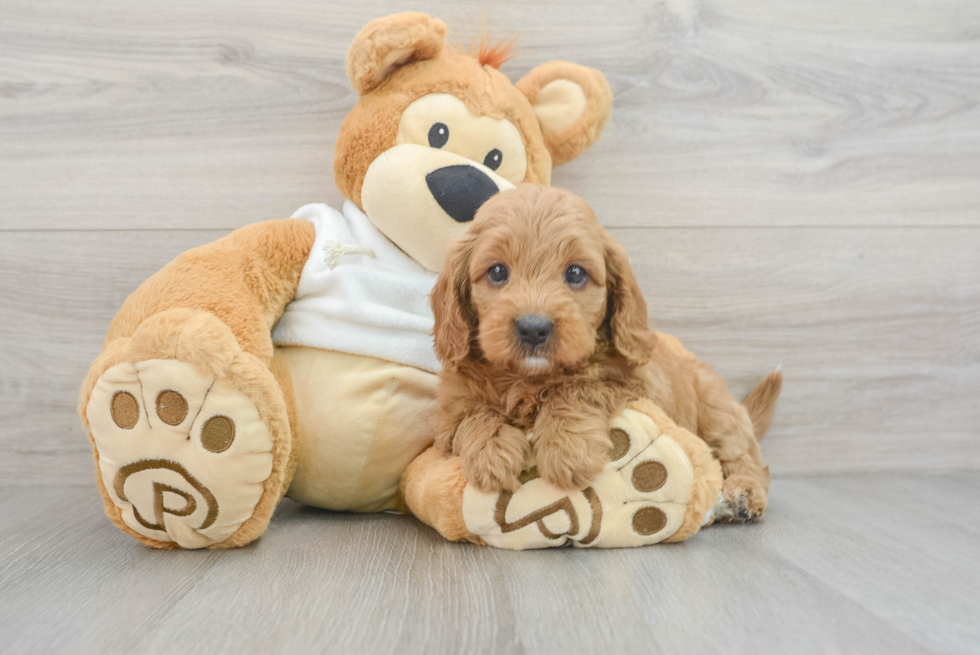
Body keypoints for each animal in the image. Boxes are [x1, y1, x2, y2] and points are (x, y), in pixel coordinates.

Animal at [428, 183, 780, 524]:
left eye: (575, 274)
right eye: (498, 272)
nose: (533, 328)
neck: (529, 377)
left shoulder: (637, 386)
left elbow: (580, 387)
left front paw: (567, 448)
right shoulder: (447, 418)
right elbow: (471, 415)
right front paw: (491, 451)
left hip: (717, 413)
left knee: (747, 460)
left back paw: (743, 496)